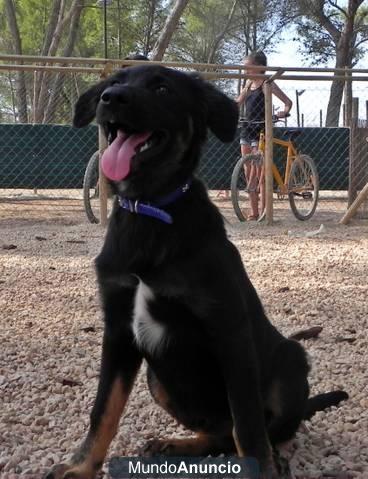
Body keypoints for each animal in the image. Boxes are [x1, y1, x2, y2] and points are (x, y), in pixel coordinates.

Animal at [46, 64, 348, 479]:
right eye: (114, 83)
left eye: (162, 88)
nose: (111, 98)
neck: (151, 209)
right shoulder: (118, 328)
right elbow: (103, 409)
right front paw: (80, 466)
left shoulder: (229, 331)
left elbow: (247, 423)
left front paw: (261, 469)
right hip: (158, 379)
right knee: (219, 434)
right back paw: (176, 444)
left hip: (291, 357)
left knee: (266, 428)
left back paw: (276, 457)